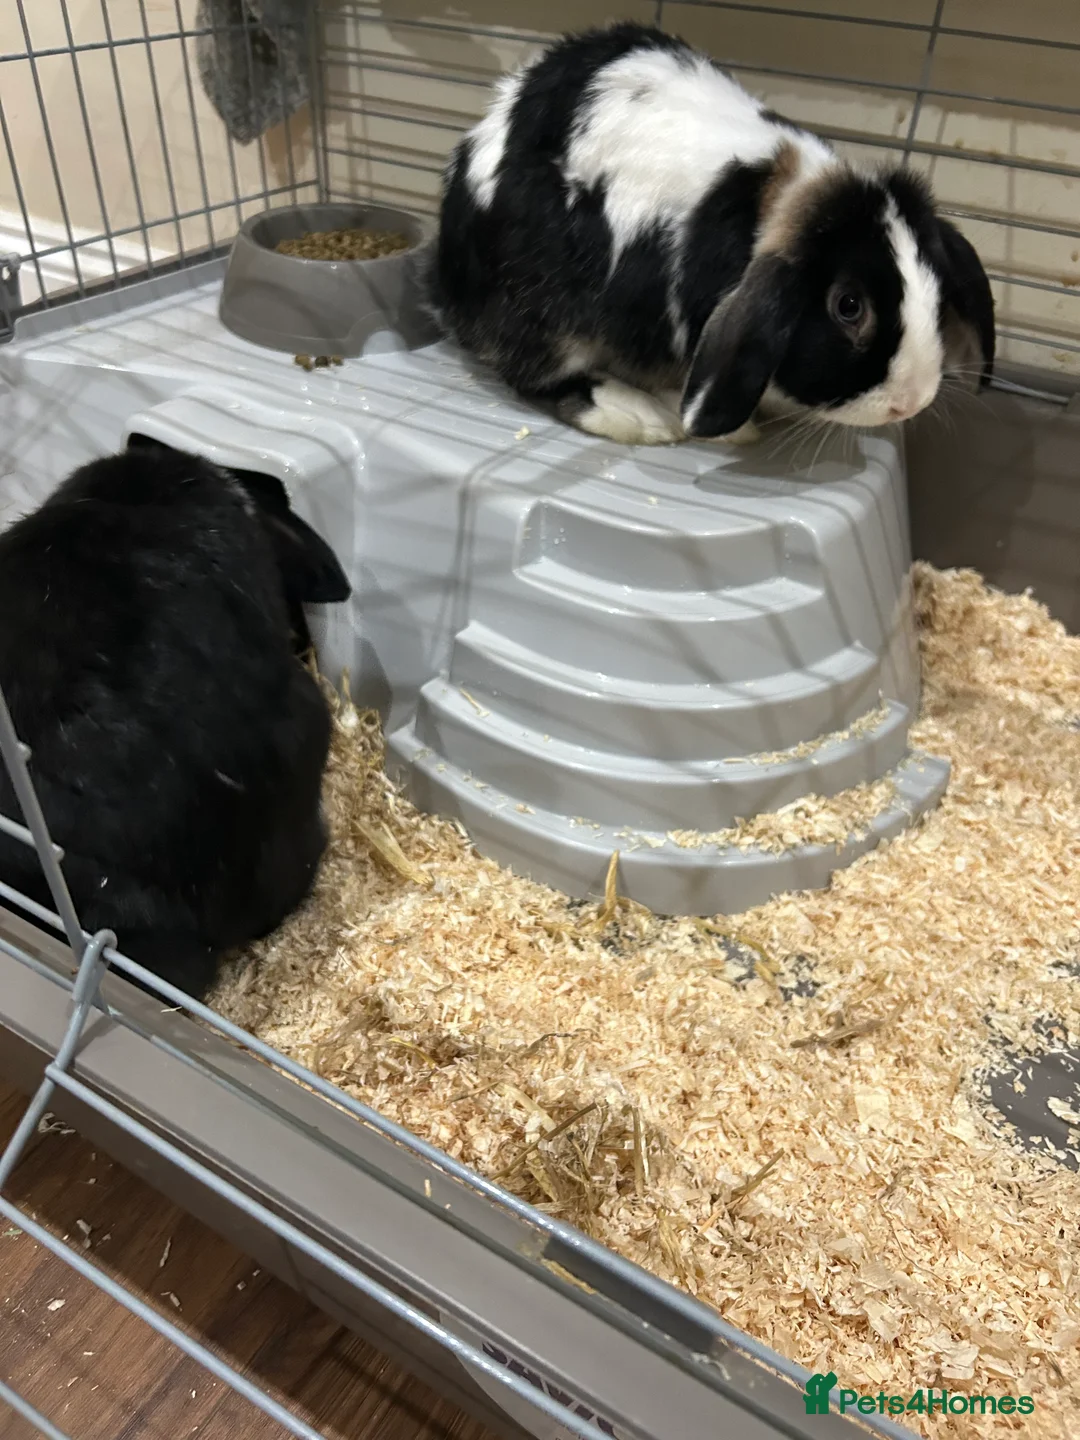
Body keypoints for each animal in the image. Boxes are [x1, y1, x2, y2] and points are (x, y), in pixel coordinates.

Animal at [428, 22, 995, 446]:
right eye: (848, 306)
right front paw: (732, 433)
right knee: (532, 372)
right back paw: (636, 416)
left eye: (936, 291)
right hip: (538, 307)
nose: (910, 402)